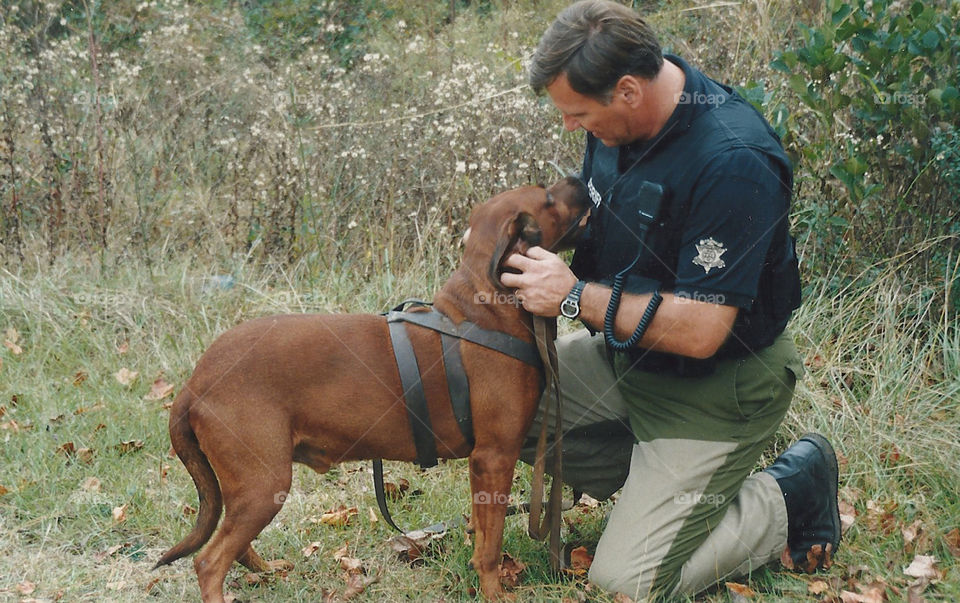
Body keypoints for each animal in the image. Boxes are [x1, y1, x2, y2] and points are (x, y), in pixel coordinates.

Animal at [154, 177, 588, 600]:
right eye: (548, 197)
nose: (582, 181)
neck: (484, 312)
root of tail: (196, 383)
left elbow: (481, 533)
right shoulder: (494, 458)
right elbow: (490, 548)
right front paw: (495, 593)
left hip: (252, 489)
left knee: (234, 546)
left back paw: (267, 569)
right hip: (264, 484)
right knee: (209, 562)